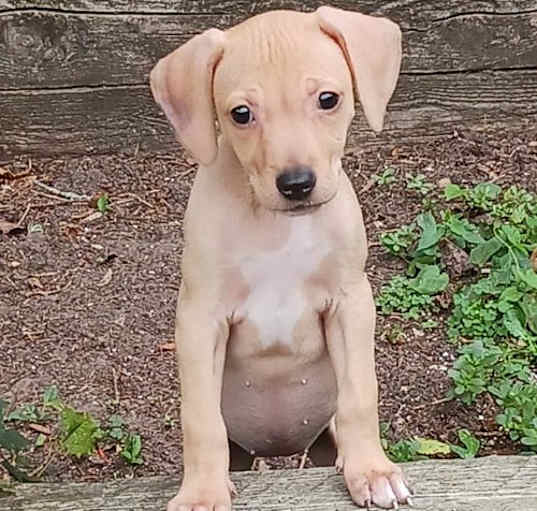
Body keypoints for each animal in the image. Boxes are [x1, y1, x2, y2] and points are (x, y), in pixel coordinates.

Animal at [149, 5, 408, 511]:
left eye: (328, 99)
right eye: (241, 114)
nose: (296, 184)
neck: (279, 230)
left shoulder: (351, 303)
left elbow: (361, 395)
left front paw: (373, 470)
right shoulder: (199, 318)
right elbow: (200, 420)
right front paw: (202, 492)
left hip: (324, 436)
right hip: (240, 448)